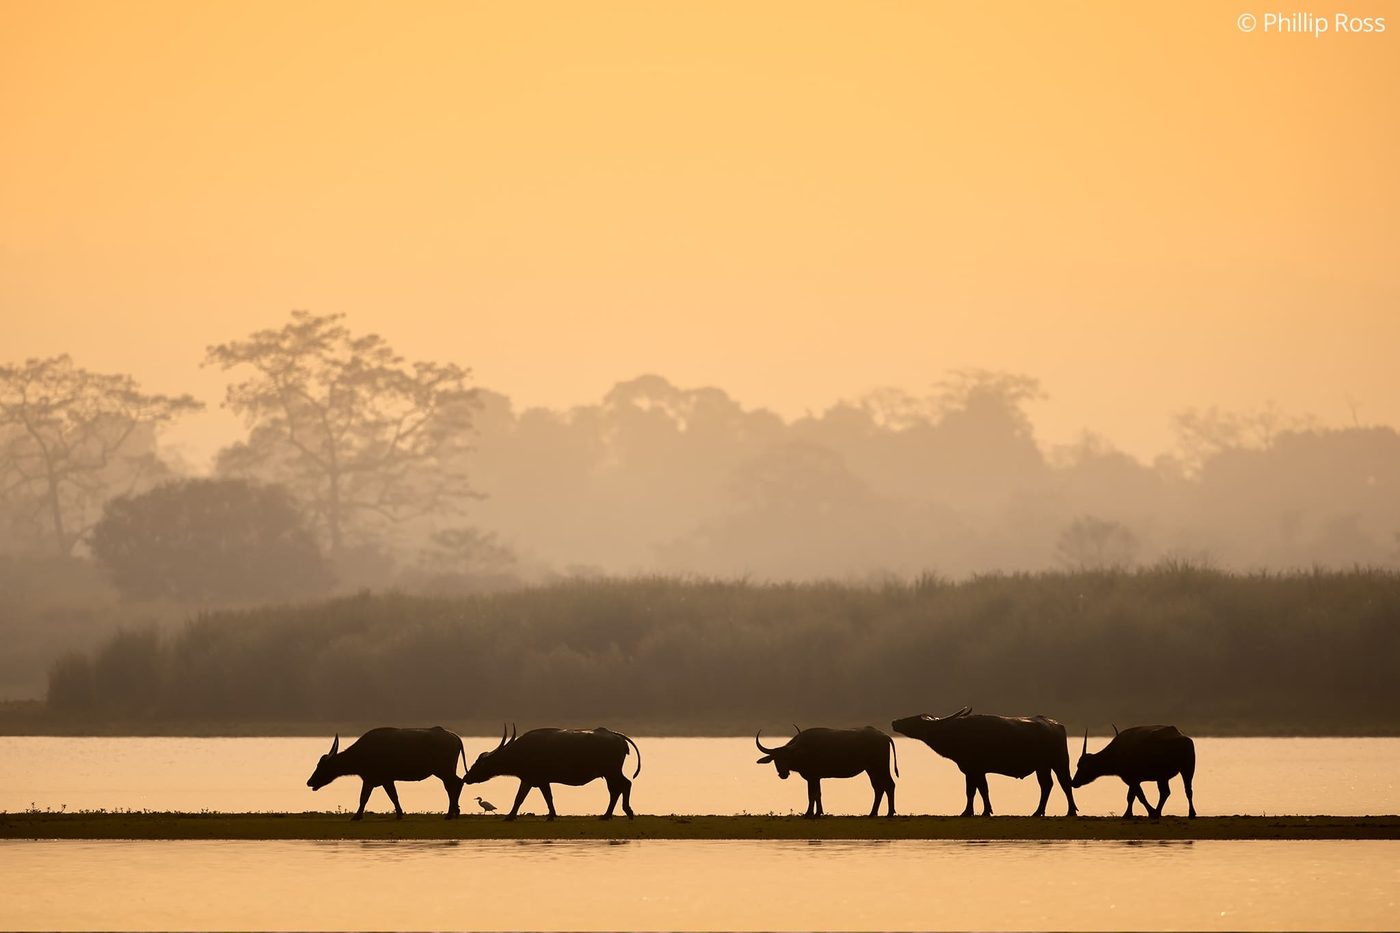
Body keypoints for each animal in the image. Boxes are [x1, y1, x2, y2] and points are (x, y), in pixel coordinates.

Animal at [305, 726, 467, 821]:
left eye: (322, 766)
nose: (309, 782)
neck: (361, 754)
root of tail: (454, 737)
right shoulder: (374, 779)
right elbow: (369, 797)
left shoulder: (382, 779)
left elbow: (384, 796)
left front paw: (357, 816)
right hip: (446, 770)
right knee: (455, 784)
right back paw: (455, 812)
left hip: (443, 770)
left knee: (455, 784)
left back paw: (450, 814)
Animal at [464, 725, 641, 820]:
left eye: (479, 764)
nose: (466, 777)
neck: (522, 751)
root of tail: (616, 736)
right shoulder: (529, 779)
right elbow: (519, 798)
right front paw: (510, 816)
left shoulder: (541, 780)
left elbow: (547, 797)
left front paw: (550, 815)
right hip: (609, 773)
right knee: (616, 789)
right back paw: (608, 814)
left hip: (611, 771)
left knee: (624, 785)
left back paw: (624, 812)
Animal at [754, 725, 899, 818]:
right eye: (776, 759)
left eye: (787, 757)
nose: (783, 774)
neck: (803, 750)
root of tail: (884, 736)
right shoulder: (815, 778)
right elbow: (816, 794)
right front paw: (818, 812)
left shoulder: (812, 776)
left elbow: (812, 794)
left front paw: (809, 814)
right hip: (871, 769)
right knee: (878, 788)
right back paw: (873, 813)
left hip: (880, 766)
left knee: (889, 785)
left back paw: (890, 813)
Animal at [892, 707, 1077, 816]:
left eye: (915, 720)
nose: (894, 722)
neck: (955, 734)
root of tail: (1057, 725)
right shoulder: (972, 770)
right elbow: (977, 790)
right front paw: (978, 810)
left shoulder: (976, 769)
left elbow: (977, 790)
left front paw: (976, 811)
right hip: (1042, 766)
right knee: (1047, 785)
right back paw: (1038, 811)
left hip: (1060, 762)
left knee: (1064, 784)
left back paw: (1071, 811)